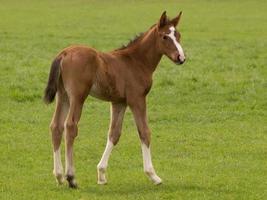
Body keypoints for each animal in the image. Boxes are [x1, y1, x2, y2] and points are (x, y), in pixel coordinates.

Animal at [44, 10, 186, 188]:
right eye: (165, 36)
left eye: (178, 35)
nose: (181, 57)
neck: (136, 61)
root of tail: (64, 53)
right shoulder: (137, 99)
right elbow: (144, 132)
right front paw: (153, 175)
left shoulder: (119, 102)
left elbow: (114, 133)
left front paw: (101, 174)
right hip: (78, 96)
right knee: (70, 126)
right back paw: (71, 177)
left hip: (63, 96)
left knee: (56, 126)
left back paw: (59, 176)